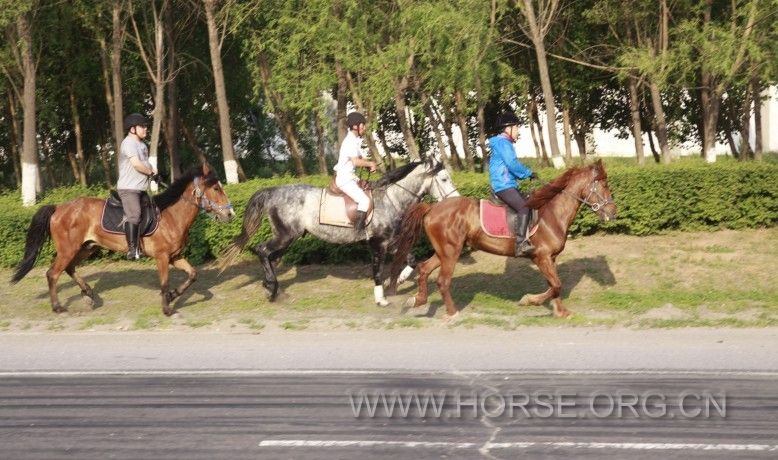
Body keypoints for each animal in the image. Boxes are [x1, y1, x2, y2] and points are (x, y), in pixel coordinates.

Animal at [10, 164, 233, 318]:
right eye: (215, 189)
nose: (230, 214)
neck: (171, 215)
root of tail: (58, 208)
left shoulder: (175, 256)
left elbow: (193, 274)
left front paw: (171, 296)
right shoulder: (162, 257)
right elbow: (164, 283)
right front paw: (167, 308)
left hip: (86, 248)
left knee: (70, 268)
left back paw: (88, 294)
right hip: (68, 249)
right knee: (53, 273)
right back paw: (58, 307)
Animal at [215, 158, 458, 306]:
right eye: (444, 179)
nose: (456, 200)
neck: (391, 199)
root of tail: (273, 191)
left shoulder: (390, 241)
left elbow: (411, 258)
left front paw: (399, 279)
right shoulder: (377, 243)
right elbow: (377, 271)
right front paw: (381, 299)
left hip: (287, 238)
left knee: (270, 257)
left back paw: (272, 287)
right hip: (285, 236)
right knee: (262, 251)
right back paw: (272, 289)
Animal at [392, 160, 616, 318]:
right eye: (604, 185)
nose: (613, 212)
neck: (551, 213)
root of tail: (431, 208)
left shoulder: (550, 258)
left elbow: (554, 285)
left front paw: (561, 312)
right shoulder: (541, 257)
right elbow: (556, 285)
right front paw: (529, 301)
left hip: (445, 251)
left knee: (424, 269)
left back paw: (417, 300)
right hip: (450, 251)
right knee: (442, 280)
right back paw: (452, 313)